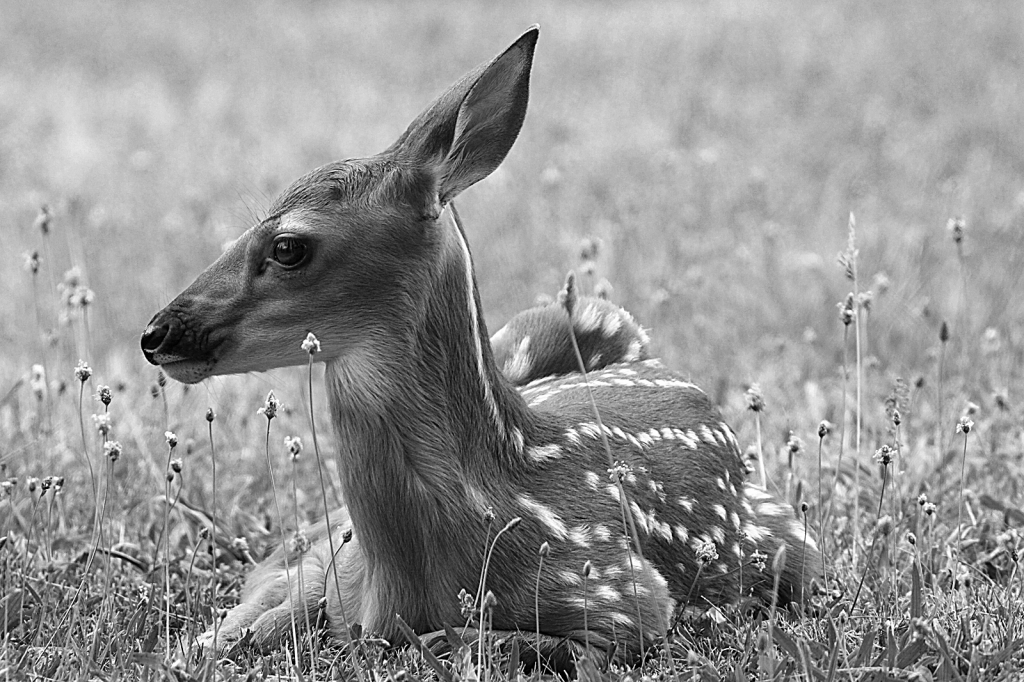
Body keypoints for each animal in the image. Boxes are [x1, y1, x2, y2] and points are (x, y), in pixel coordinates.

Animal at [142, 27, 815, 663]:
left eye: (287, 247)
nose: (156, 334)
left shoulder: (623, 597)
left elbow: (477, 639)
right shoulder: (333, 561)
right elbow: (261, 616)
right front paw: (200, 645)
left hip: (794, 548)